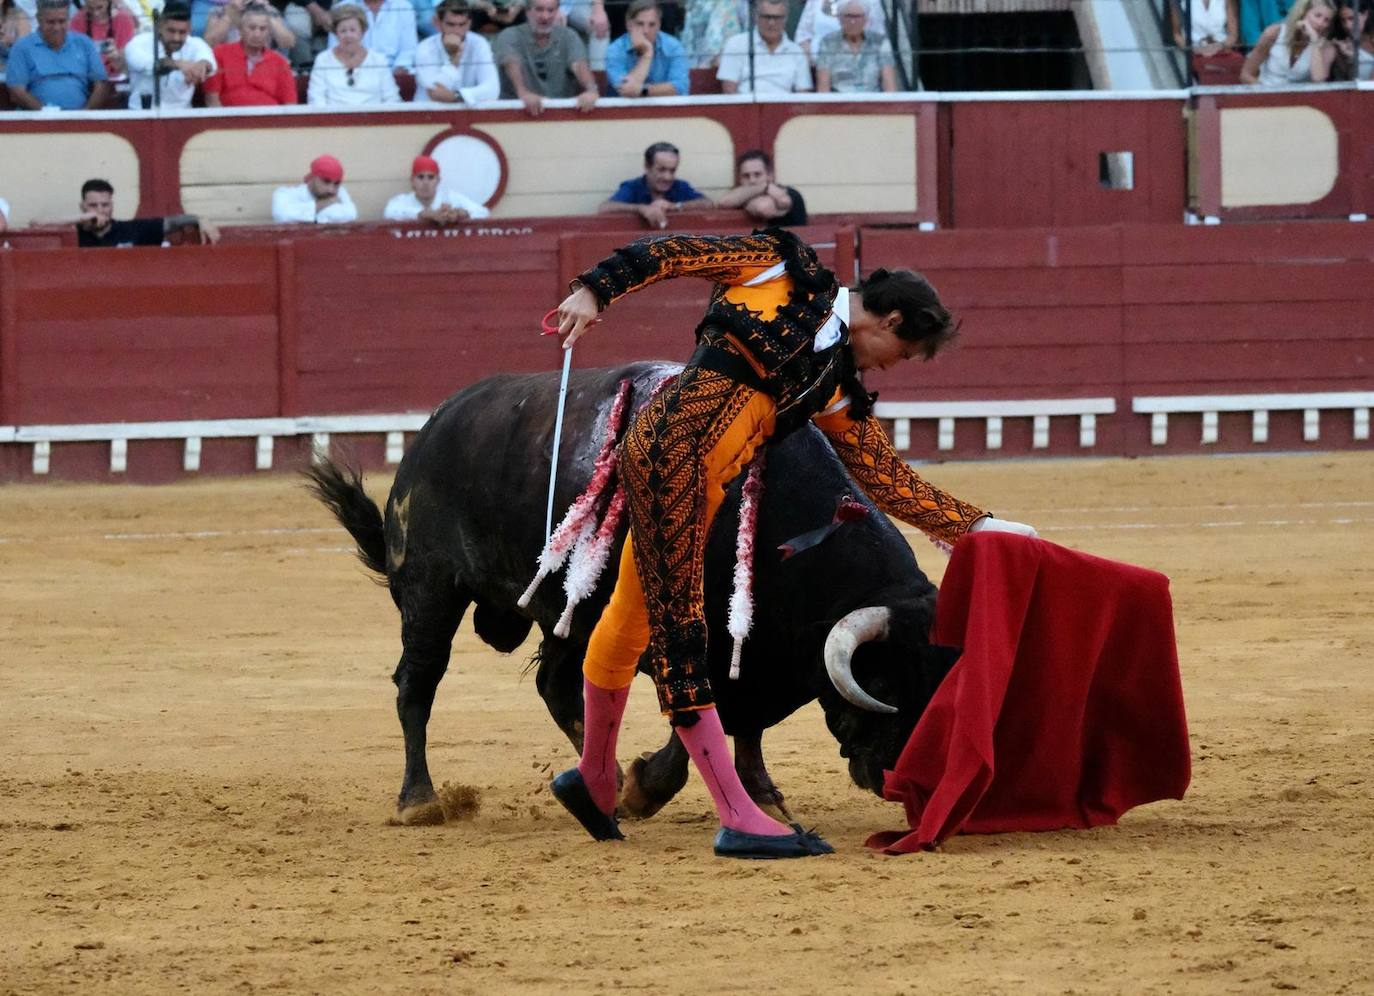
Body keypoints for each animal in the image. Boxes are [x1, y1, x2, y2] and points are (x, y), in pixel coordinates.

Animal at [309, 365, 956, 824]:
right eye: (886, 684)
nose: (901, 780)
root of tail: (432, 428)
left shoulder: (752, 651)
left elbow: (745, 724)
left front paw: (763, 798)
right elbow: (703, 718)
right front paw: (647, 789)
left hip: (568, 612)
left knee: (557, 687)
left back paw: (605, 780)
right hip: (430, 590)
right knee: (417, 683)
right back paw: (419, 801)